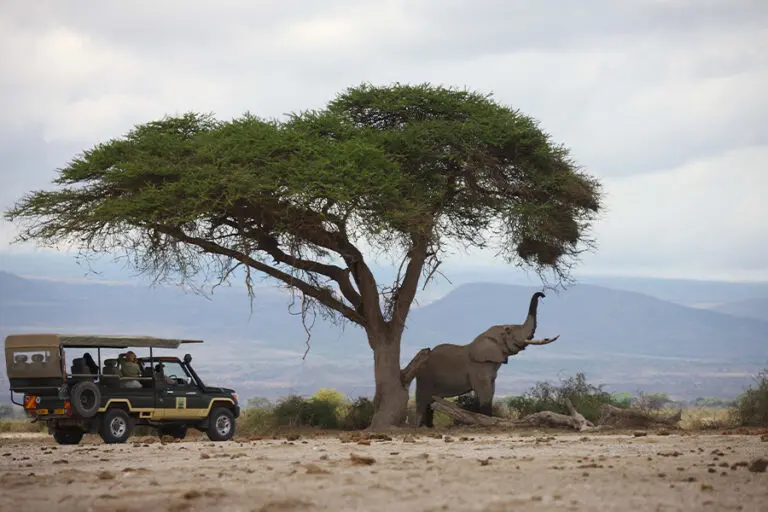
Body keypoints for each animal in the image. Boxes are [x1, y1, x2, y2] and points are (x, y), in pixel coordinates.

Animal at [413, 291, 560, 427]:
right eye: (509, 331)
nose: (543, 295)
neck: (488, 335)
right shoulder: (478, 367)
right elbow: (485, 392)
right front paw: (488, 421)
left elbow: (491, 391)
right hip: (424, 376)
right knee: (423, 401)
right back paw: (421, 426)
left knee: (431, 402)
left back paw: (429, 426)